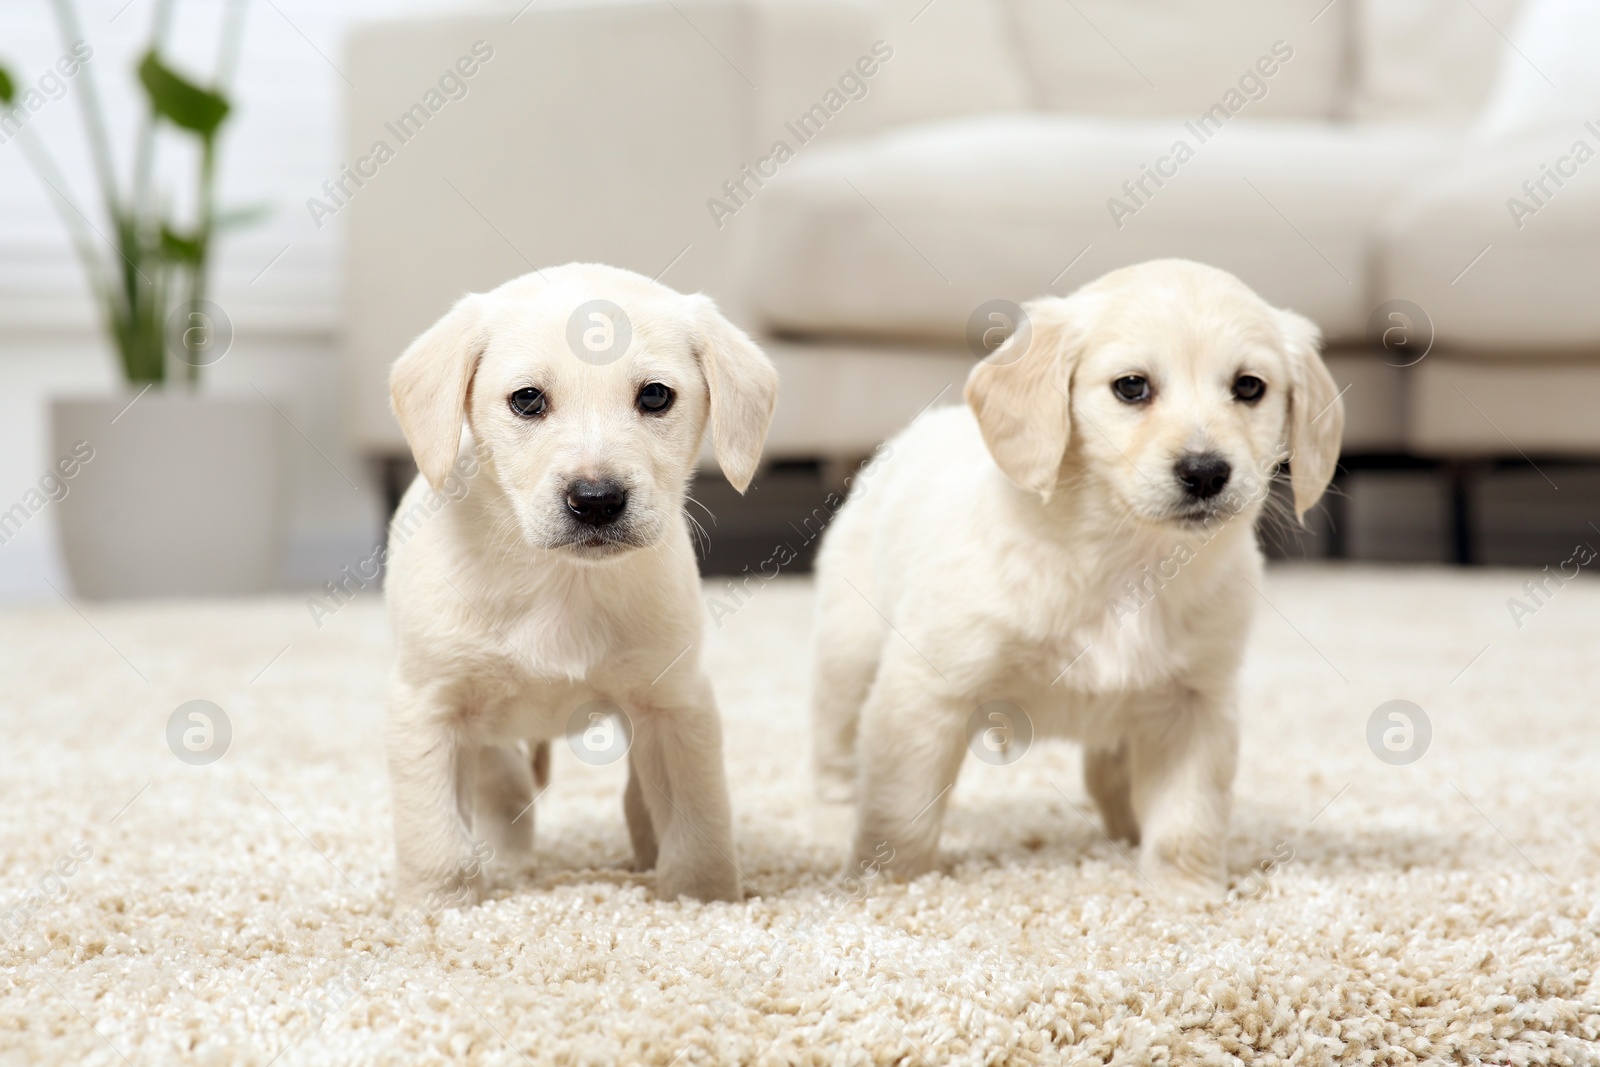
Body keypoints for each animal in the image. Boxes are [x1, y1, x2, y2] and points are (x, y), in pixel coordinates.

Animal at [377, 262, 771, 908]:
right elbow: (436, 840)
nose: (596, 500)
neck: (563, 581)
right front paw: (438, 909)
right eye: (527, 399)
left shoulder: (676, 704)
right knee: (500, 778)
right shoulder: (428, 705)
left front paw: (703, 900)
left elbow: (700, 823)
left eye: (655, 395)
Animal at [806, 260, 1344, 902]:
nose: (1206, 472)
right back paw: (832, 814)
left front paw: (1186, 895)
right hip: (848, 654)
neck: (1124, 556)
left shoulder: (1196, 703)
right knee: (836, 748)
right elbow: (899, 806)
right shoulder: (925, 691)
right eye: (1132, 387)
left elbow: (1187, 817)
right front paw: (884, 883)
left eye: (1249, 387)